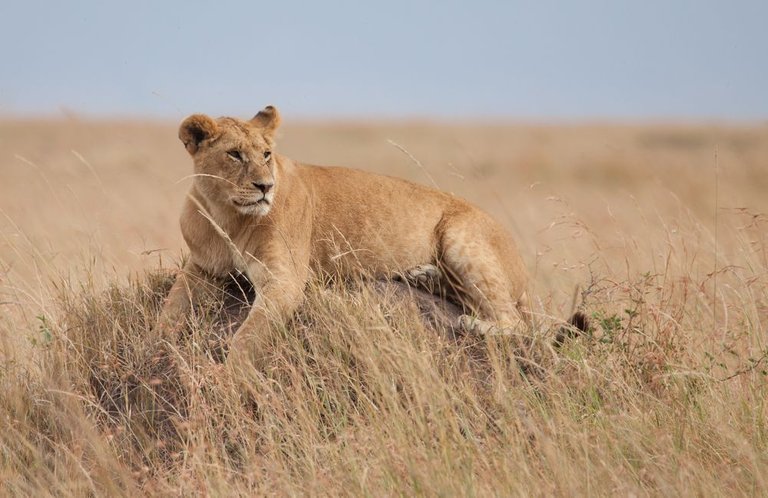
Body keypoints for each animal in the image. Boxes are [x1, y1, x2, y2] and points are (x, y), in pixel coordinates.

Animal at [156, 105, 576, 364]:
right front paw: (157, 346)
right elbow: (169, 310)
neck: (227, 215)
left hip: (461, 236)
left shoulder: (285, 280)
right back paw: (423, 276)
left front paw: (230, 376)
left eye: (266, 154)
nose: (265, 187)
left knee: (514, 322)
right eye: (234, 154)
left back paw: (468, 322)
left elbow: (248, 335)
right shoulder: (201, 268)